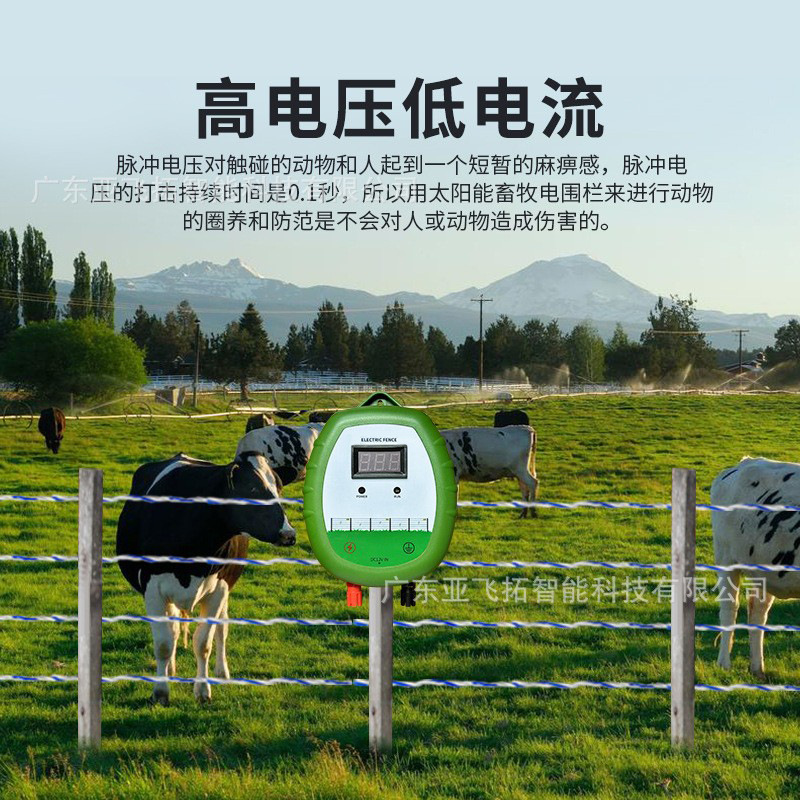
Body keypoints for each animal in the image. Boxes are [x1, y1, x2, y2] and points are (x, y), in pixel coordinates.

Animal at [116, 452, 295, 705]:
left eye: (279, 487)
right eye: (252, 488)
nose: (288, 534)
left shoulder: (219, 588)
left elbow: (203, 644)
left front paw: (202, 690)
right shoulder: (153, 590)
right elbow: (163, 644)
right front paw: (160, 692)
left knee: (222, 628)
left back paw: (222, 671)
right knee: (173, 629)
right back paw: (170, 669)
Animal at [711, 457, 800, 678]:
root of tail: (744, 462)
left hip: (763, 572)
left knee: (758, 612)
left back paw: (758, 668)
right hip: (726, 559)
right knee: (729, 608)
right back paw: (724, 663)